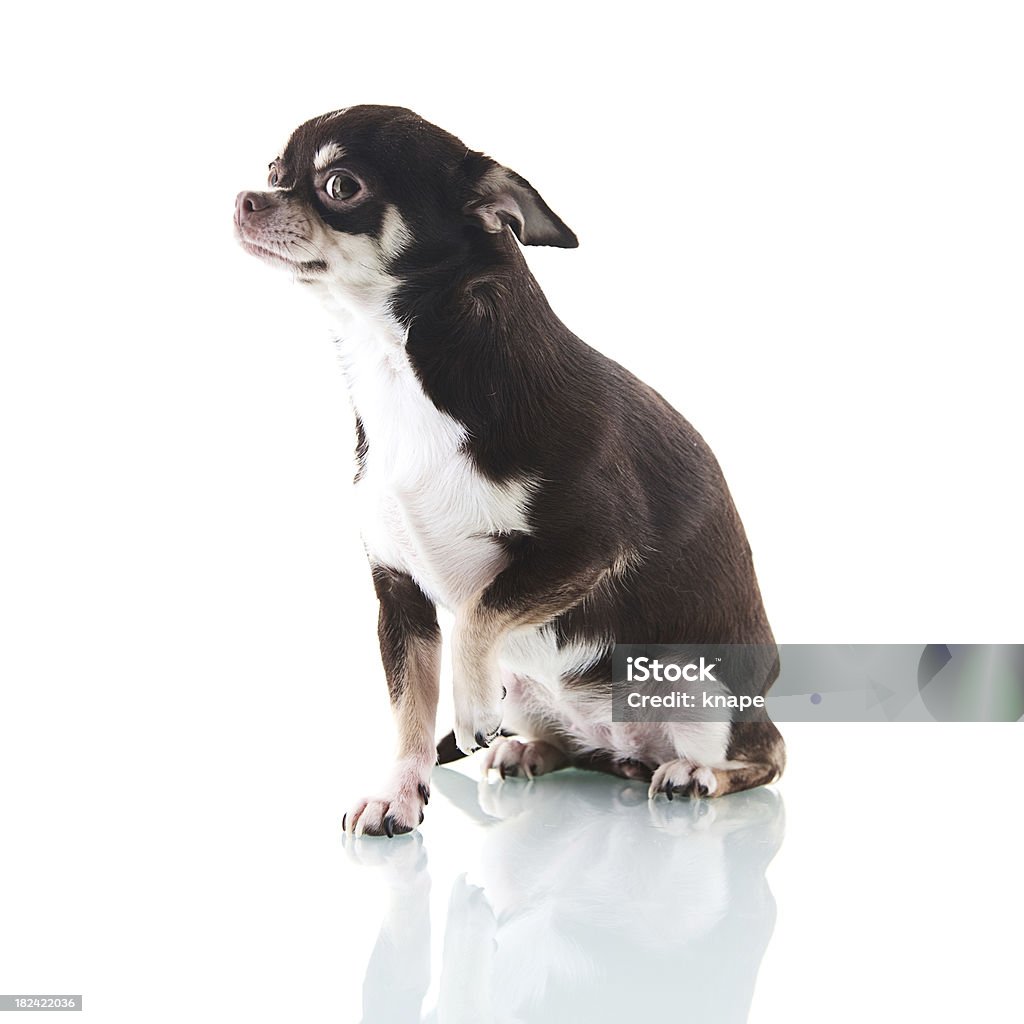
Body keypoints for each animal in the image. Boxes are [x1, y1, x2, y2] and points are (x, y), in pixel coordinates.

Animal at [235, 108, 786, 835]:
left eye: (340, 185)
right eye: (273, 172)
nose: (246, 199)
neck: (395, 366)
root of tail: (628, 752)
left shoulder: (587, 547)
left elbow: (478, 611)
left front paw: (469, 705)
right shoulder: (400, 596)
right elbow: (409, 712)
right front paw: (398, 793)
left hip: (701, 687)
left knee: (766, 756)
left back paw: (695, 773)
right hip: (534, 694)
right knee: (577, 746)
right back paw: (534, 749)